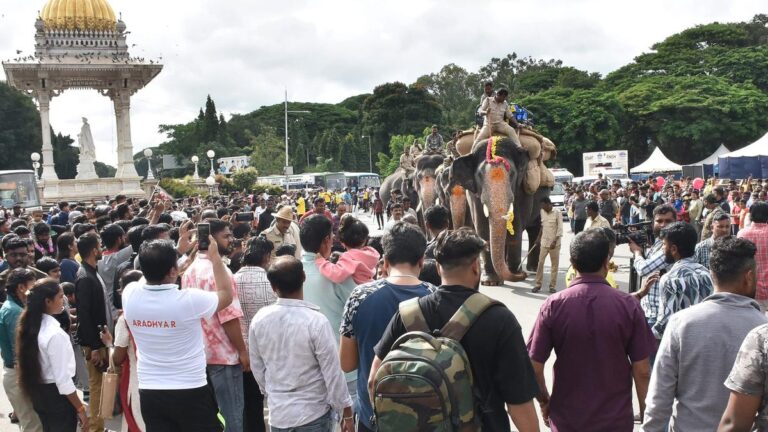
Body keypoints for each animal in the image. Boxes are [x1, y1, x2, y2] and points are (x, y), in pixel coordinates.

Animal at [450, 134, 552, 284]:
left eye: (512, 174)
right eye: (479, 175)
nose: (522, 274)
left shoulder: (522, 189)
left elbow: (516, 228)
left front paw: (515, 274)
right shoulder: (473, 194)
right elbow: (482, 228)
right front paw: (490, 282)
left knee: (535, 228)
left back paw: (531, 270)